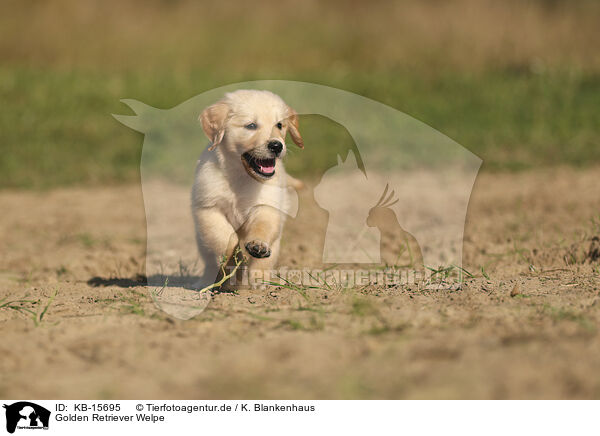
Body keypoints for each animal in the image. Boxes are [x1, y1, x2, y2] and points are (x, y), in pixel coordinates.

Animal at [192, 89, 304, 290]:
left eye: (279, 125)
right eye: (251, 125)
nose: (277, 146)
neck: (241, 177)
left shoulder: (267, 207)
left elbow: (262, 227)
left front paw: (257, 245)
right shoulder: (209, 209)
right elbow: (224, 237)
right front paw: (235, 260)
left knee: (264, 262)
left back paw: (259, 281)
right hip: (202, 244)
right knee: (209, 262)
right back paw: (207, 283)